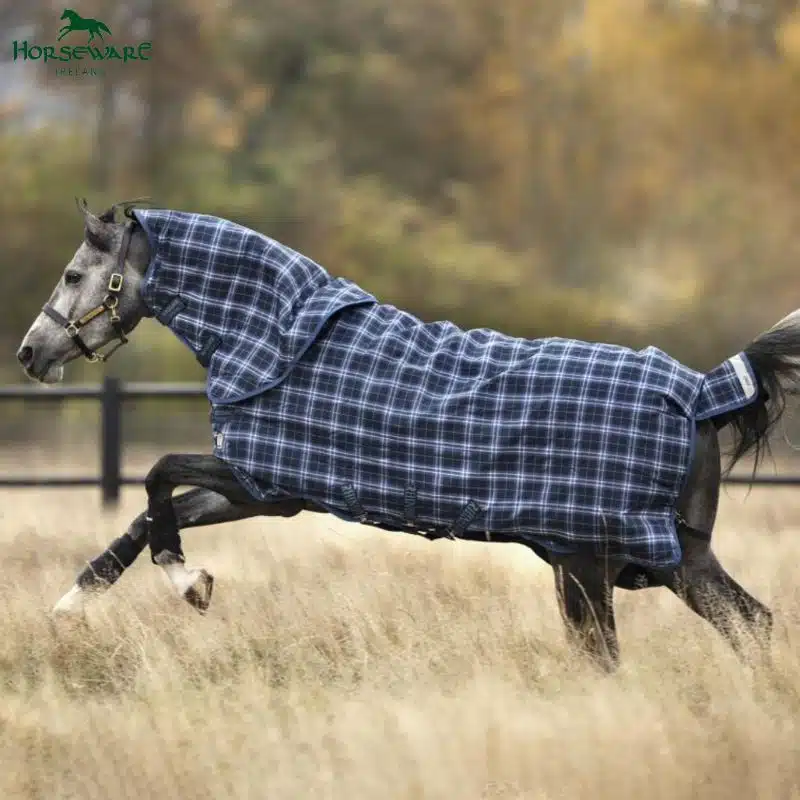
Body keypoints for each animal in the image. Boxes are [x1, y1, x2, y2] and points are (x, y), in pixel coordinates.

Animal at [16, 198, 800, 671]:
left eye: (75, 274)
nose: (29, 354)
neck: (278, 340)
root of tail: (701, 392)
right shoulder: (265, 492)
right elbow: (148, 519)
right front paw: (74, 605)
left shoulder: (260, 482)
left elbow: (156, 479)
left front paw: (189, 583)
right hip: (672, 560)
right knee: (753, 624)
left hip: (591, 561)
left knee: (613, 653)